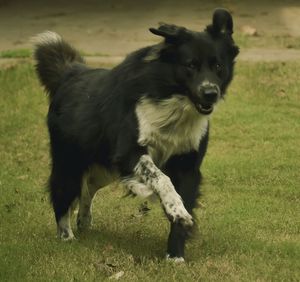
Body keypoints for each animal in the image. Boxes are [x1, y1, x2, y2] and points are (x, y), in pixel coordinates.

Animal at [32, 8, 239, 262]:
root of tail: (72, 73)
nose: (210, 93)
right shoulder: (129, 151)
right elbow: (161, 178)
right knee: (63, 194)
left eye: (218, 66)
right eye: (190, 65)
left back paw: (85, 222)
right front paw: (173, 207)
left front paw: (175, 254)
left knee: (87, 187)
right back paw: (67, 237)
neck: (172, 99)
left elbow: (181, 199)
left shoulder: (188, 164)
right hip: (70, 160)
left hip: (103, 168)